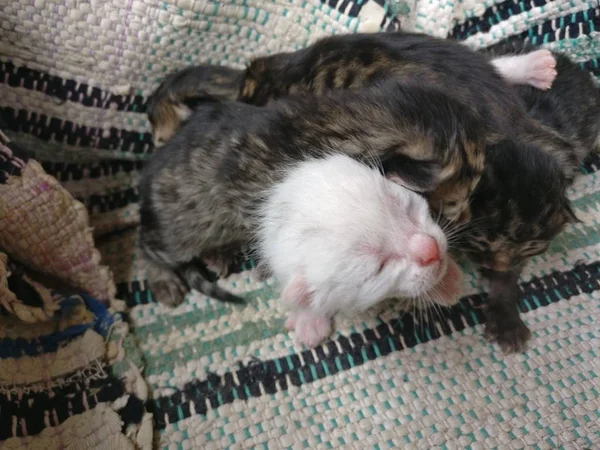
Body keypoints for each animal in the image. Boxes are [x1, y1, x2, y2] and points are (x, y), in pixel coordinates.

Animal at [142, 80, 488, 306]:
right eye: (453, 204)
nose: (469, 219)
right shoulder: (258, 191)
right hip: (180, 231)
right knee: (149, 247)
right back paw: (163, 278)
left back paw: (218, 254)